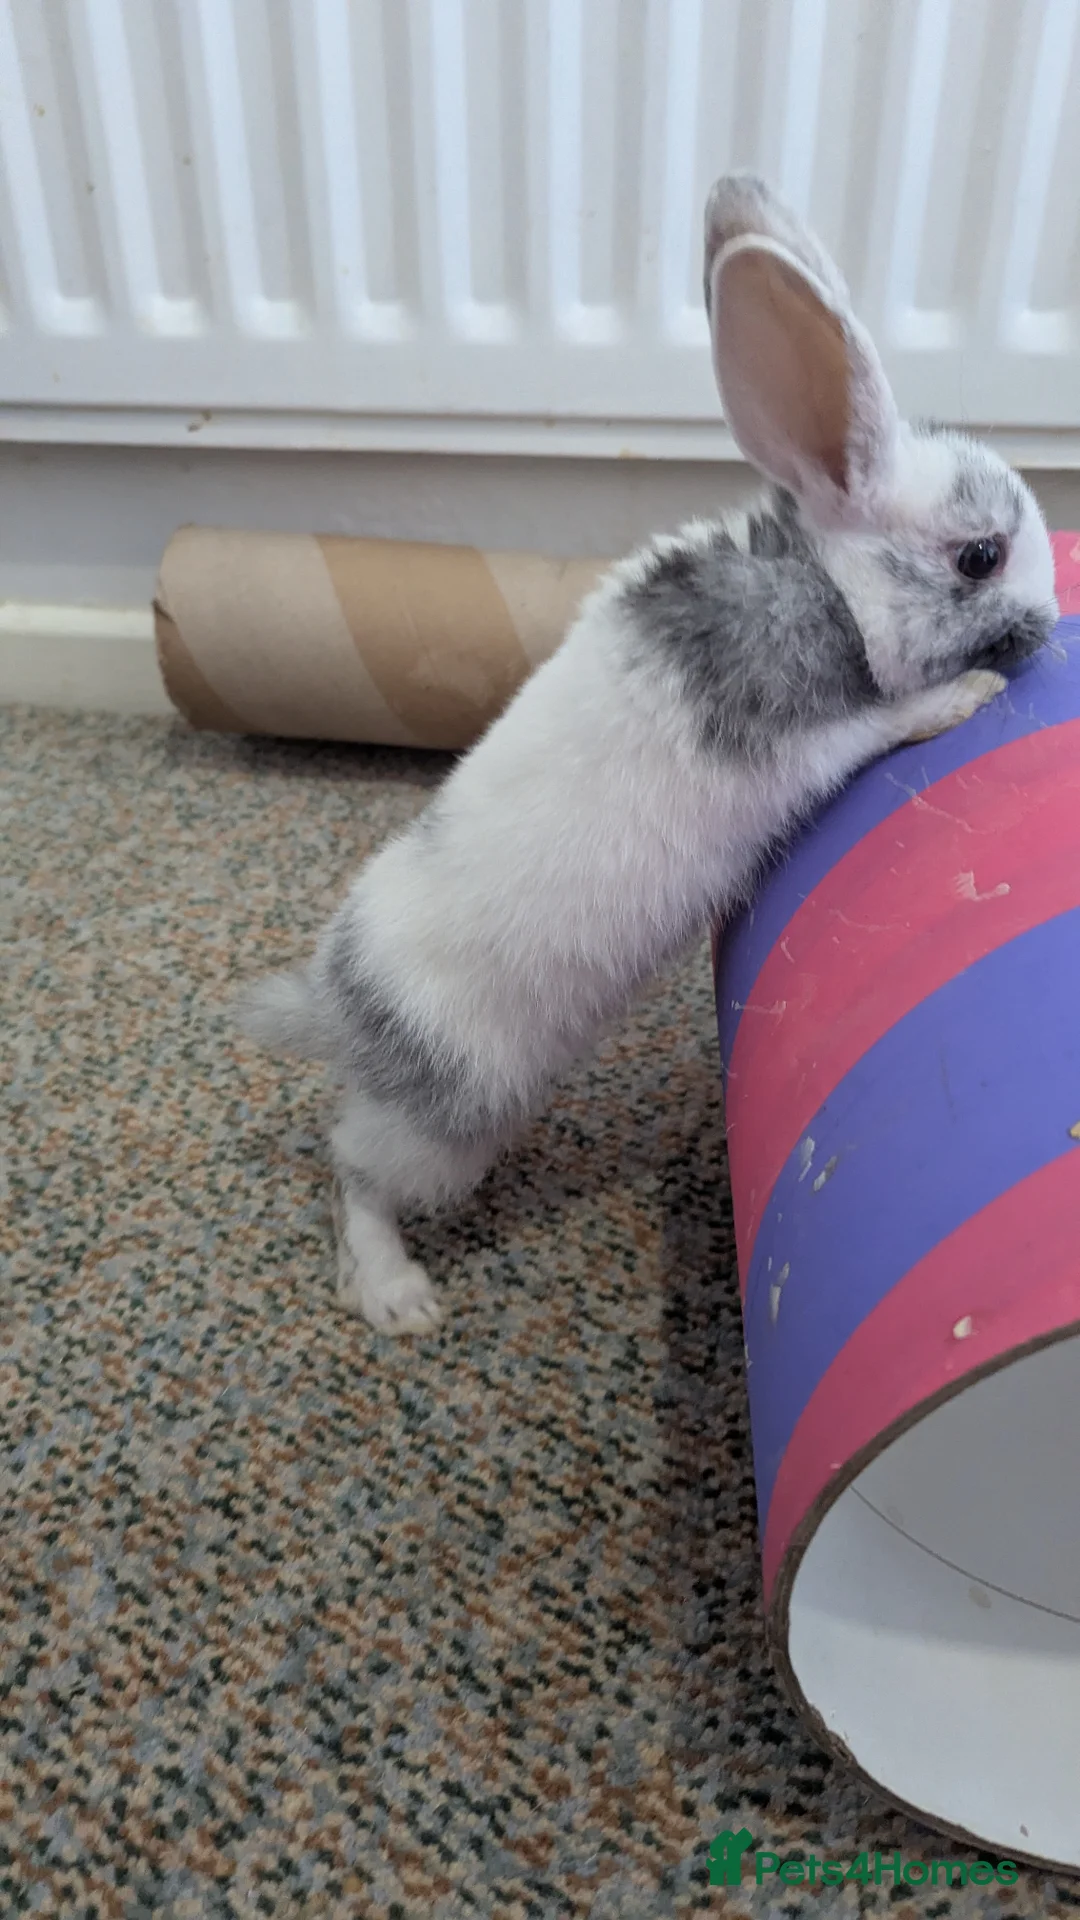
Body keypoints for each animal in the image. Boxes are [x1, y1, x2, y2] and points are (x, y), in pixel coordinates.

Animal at [238, 173, 1057, 1335]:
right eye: (980, 556)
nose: (1051, 618)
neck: (827, 587)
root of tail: (338, 1003)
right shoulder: (799, 748)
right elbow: (879, 725)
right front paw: (968, 696)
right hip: (453, 1129)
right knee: (350, 1169)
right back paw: (397, 1298)